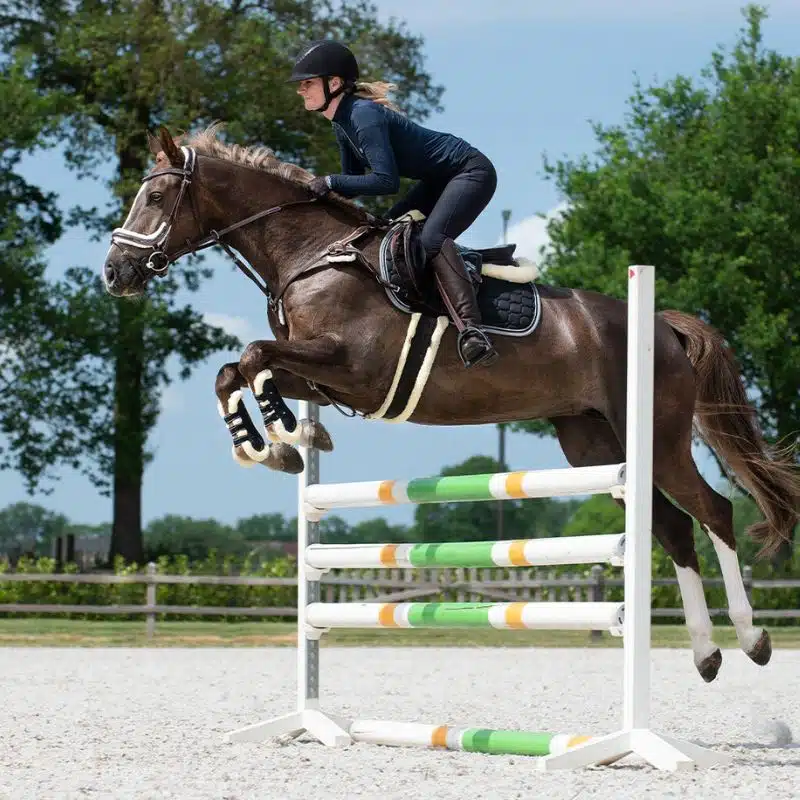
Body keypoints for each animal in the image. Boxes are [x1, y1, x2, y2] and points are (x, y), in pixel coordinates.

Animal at [102, 124, 799, 684]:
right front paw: (277, 442)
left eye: (156, 198)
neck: (310, 258)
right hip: (595, 445)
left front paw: (282, 439)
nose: (114, 274)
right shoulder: (326, 377)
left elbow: (251, 356)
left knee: (711, 510)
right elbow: (234, 369)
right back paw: (706, 654)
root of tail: (663, 324)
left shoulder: (353, 368)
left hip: (655, 435)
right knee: (674, 526)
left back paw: (752, 639)